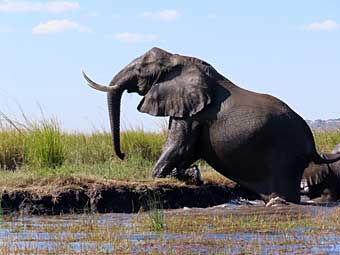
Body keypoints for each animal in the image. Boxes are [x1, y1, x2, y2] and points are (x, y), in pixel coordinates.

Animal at [81, 47, 340, 203]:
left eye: (139, 70)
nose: (123, 154)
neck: (178, 59)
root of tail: (312, 146)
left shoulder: (196, 113)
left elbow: (177, 147)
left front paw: (159, 177)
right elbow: (186, 152)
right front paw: (187, 176)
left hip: (284, 157)